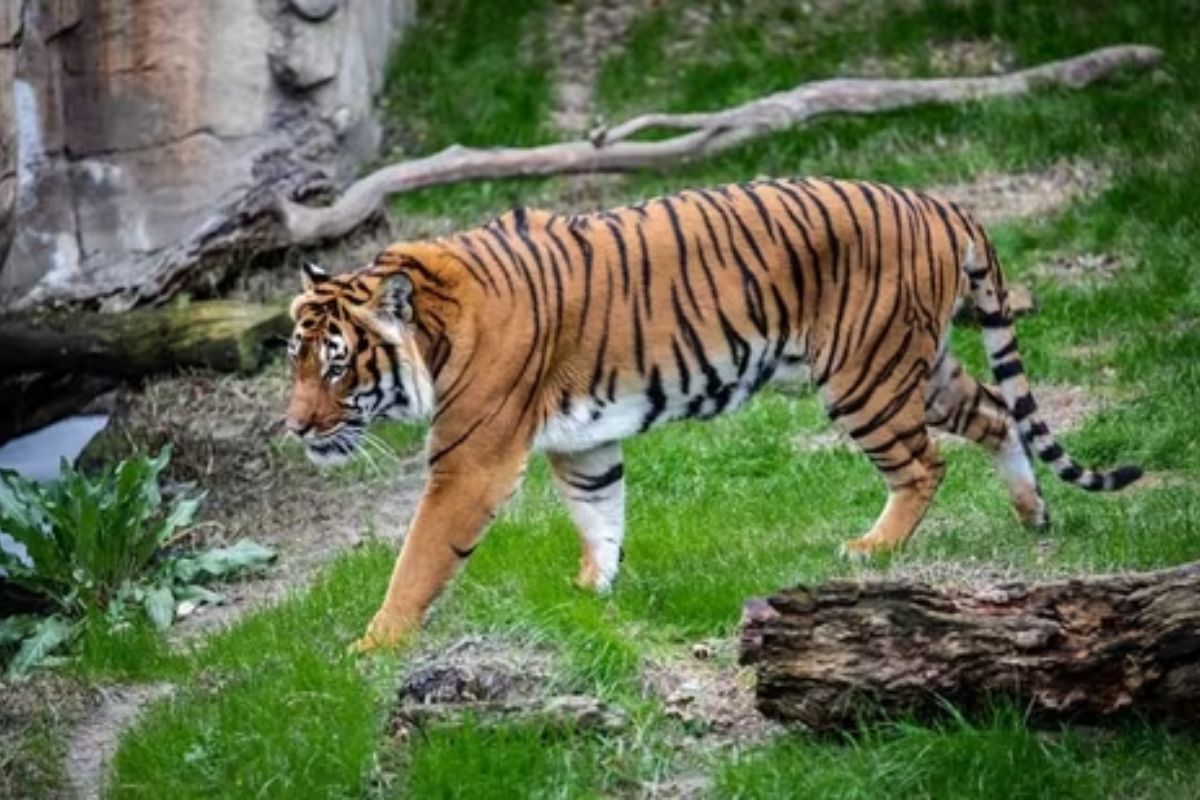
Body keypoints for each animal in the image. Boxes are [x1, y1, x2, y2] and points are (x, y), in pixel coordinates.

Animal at [285, 177, 1141, 653]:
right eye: (292, 358)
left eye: (336, 363)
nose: (294, 428)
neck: (431, 329)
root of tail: (937, 201)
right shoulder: (583, 444)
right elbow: (600, 515)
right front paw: (592, 593)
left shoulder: (472, 462)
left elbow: (419, 558)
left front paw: (373, 646)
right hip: (919, 366)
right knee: (997, 411)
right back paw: (1033, 515)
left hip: (862, 375)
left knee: (925, 462)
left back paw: (873, 549)